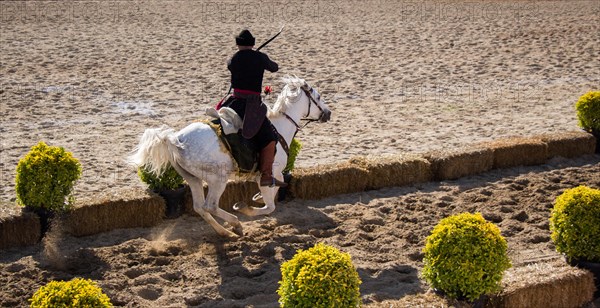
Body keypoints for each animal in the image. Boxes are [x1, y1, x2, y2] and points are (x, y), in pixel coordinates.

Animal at [128, 77, 330, 238]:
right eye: (318, 97)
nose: (328, 113)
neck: (279, 128)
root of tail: (176, 139)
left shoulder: (275, 174)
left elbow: (274, 191)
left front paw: (257, 197)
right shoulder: (269, 172)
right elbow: (270, 206)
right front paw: (246, 207)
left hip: (192, 179)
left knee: (199, 207)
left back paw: (225, 231)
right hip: (218, 179)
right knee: (210, 206)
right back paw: (235, 223)